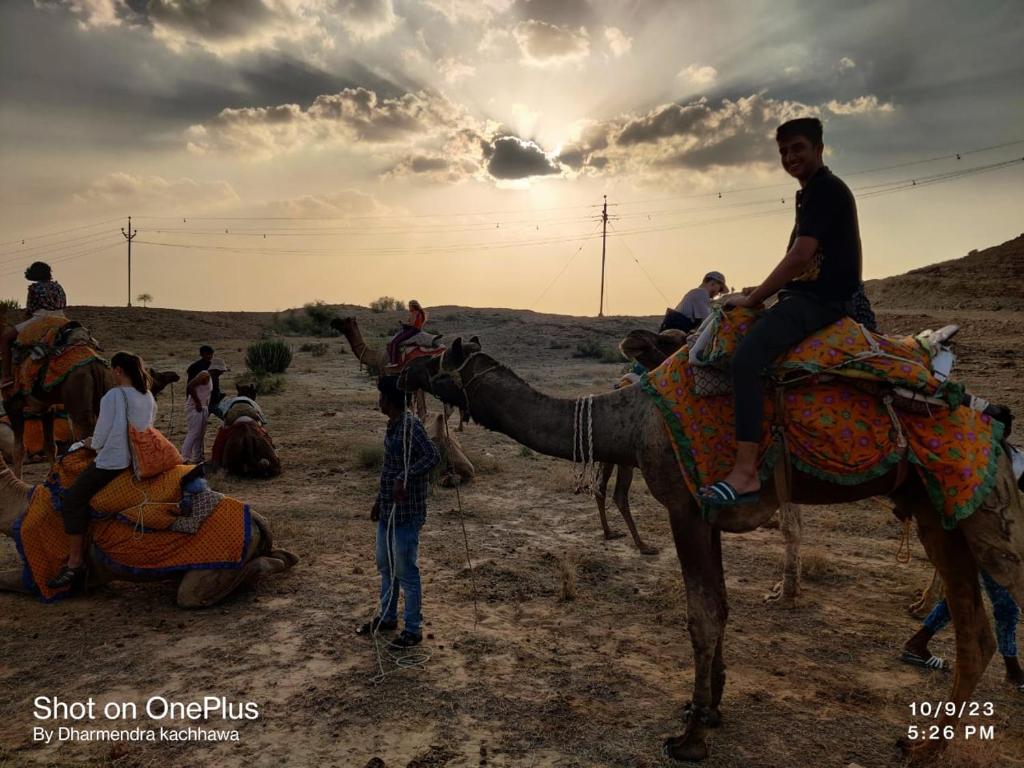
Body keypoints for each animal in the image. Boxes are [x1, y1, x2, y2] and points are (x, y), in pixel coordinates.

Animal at [400, 339, 1024, 763]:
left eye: (431, 358)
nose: (395, 371)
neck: (630, 421)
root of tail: (995, 428)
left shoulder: (686, 507)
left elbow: (701, 615)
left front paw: (690, 735)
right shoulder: (711, 517)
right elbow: (720, 606)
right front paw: (712, 706)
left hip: (973, 509)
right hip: (936, 511)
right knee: (976, 631)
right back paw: (921, 741)